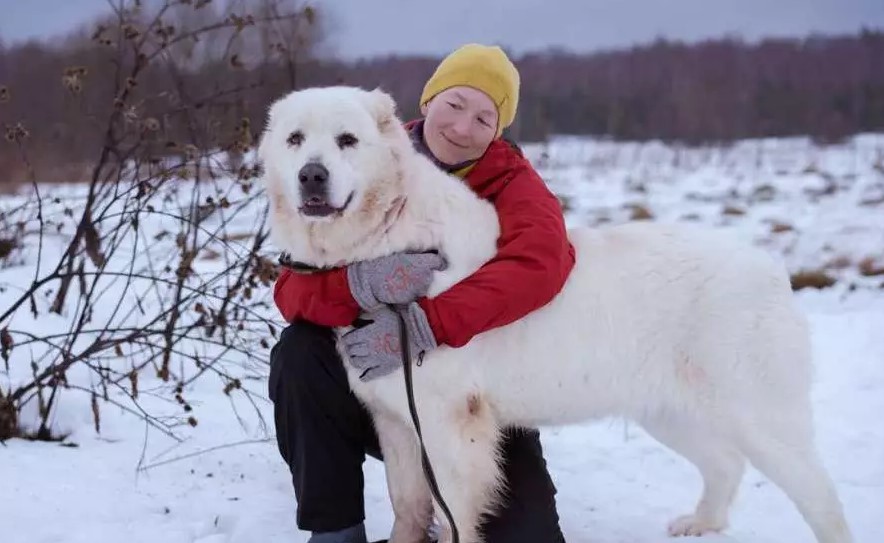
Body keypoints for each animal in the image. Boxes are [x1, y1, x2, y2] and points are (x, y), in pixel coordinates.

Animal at [258, 85, 852, 543]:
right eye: (295, 140)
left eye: (347, 140)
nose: (312, 176)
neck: (388, 236)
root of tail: (768, 264)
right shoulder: (396, 421)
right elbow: (408, 506)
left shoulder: (448, 424)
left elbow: (452, 515)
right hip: (670, 412)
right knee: (726, 464)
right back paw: (700, 523)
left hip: (760, 416)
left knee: (820, 493)